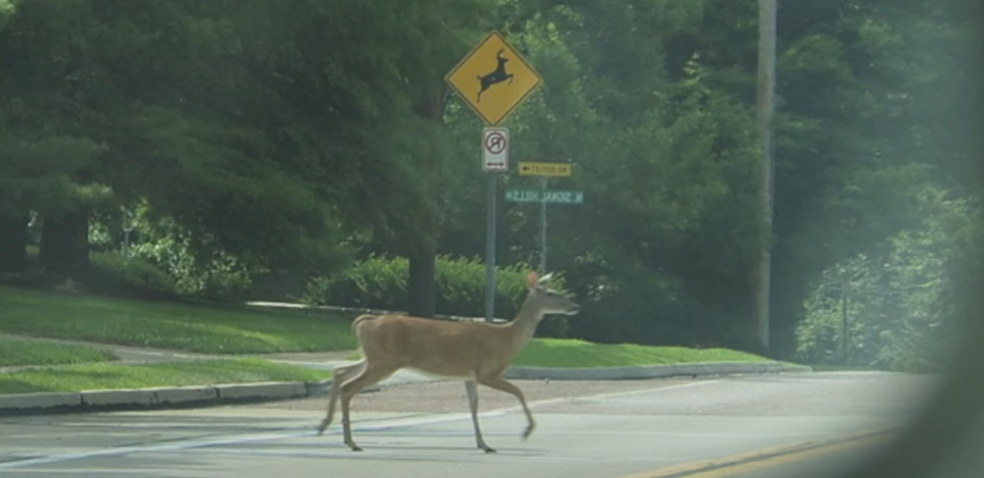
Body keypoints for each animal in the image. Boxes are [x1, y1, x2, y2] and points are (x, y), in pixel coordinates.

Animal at [316, 270, 580, 453]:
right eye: (550, 294)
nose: (575, 306)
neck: (507, 338)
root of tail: (364, 322)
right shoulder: (487, 371)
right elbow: (519, 392)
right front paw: (526, 431)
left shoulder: (469, 375)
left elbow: (474, 407)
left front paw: (484, 444)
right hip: (384, 361)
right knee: (348, 386)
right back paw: (351, 442)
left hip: (373, 357)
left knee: (339, 371)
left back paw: (325, 426)